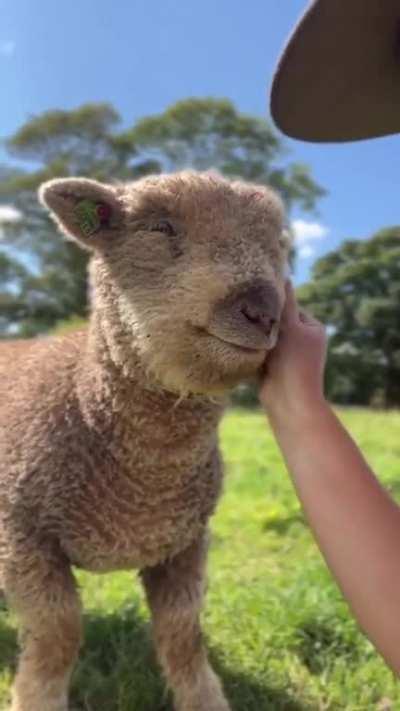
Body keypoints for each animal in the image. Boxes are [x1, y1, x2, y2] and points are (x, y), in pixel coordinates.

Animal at [0, 170, 289, 711]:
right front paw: (36, 697)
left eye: (278, 242)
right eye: (159, 227)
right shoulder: (21, 536)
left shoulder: (186, 541)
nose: (263, 311)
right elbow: (58, 633)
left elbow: (182, 634)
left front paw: (204, 700)